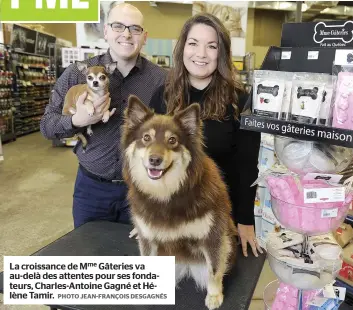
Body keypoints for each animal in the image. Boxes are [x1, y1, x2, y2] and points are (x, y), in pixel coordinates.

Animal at [121, 95, 236, 308]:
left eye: (172, 140)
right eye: (146, 138)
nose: (155, 160)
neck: (167, 194)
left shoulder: (213, 237)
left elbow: (214, 271)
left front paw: (214, 296)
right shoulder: (148, 238)